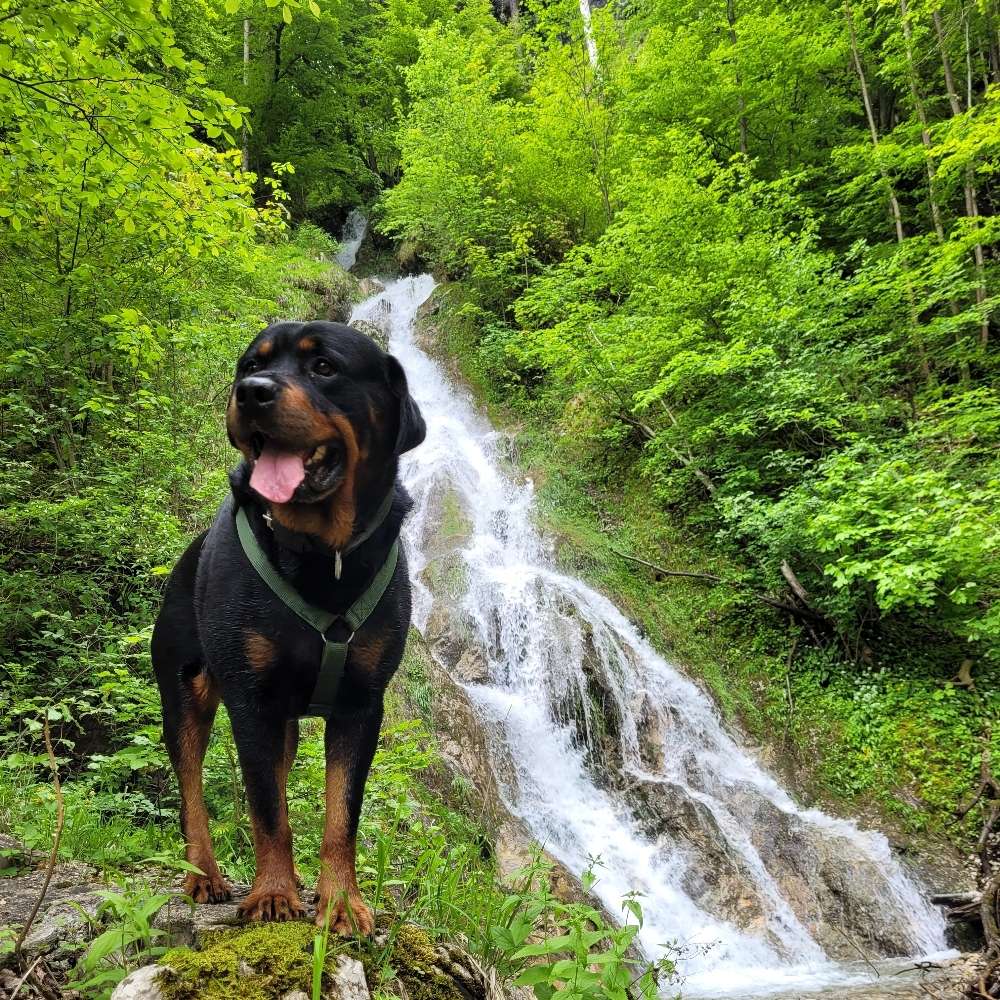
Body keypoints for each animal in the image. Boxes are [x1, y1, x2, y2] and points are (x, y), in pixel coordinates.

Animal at [150, 318, 424, 928]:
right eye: (251, 363)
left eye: (324, 367)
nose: (251, 391)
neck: (322, 556)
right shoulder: (250, 699)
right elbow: (267, 811)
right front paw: (272, 895)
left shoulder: (361, 704)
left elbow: (342, 814)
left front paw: (340, 901)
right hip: (184, 692)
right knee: (191, 788)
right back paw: (204, 875)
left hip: (286, 725)